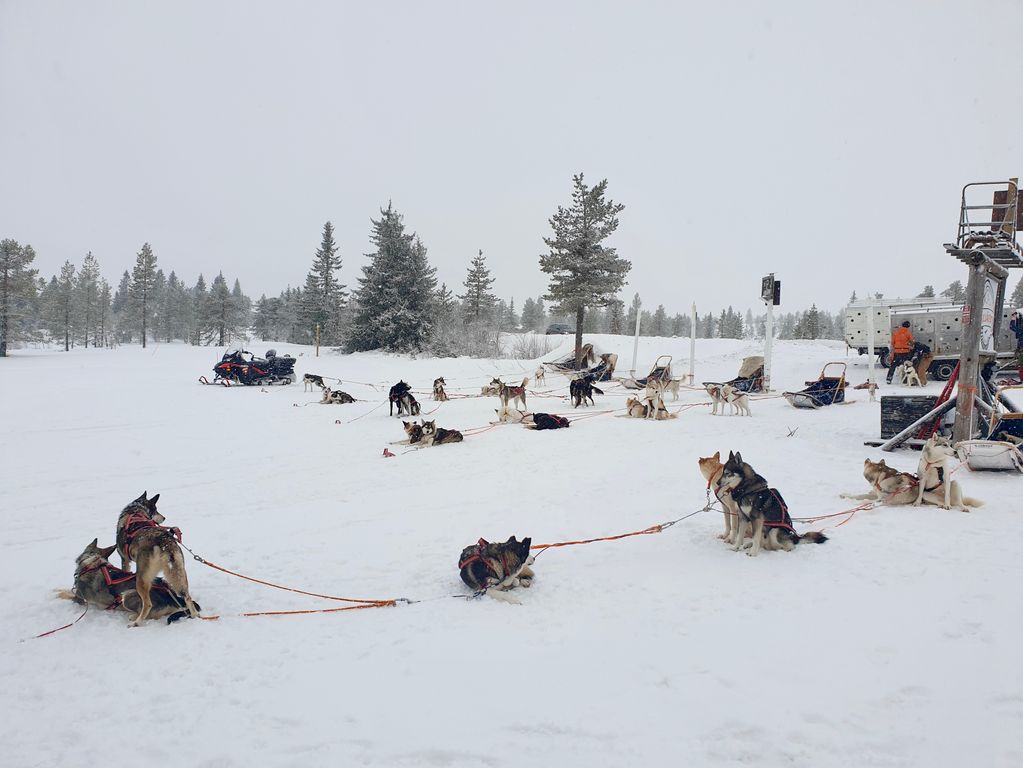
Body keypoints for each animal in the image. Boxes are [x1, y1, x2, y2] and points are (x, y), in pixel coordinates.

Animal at [58, 539, 200, 625]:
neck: (92, 564)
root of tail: (171, 596)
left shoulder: (79, 599)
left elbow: (65, 593)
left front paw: (55, 593)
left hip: (127, 596)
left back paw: (133, 618)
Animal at [115, 492, 198, 625]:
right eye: (156, 510)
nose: (164, 518)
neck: (136, 511)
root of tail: (164, 541)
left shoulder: (124, 559)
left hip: (141, 579)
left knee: (148, 604)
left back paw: (137, 622)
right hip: (177, 573)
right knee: (187, 596)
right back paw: (194, 615)